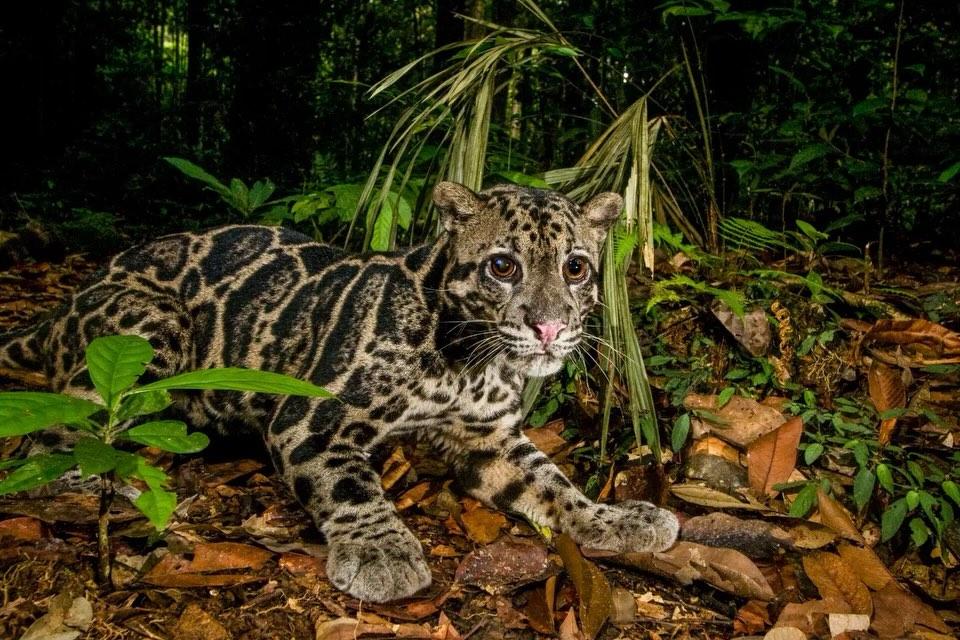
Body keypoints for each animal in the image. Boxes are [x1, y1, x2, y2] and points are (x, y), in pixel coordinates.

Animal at [0, 182, 679, 602]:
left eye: (576, 268)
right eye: (502, 267)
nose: (550, 327)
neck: (469, 363)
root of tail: (73, 295)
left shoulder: (489, 440)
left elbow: (552, 483)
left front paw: (615, 518)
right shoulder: (312, 414)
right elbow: (350, 483)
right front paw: (382, 552)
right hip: (150, 332)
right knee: (54, 434)